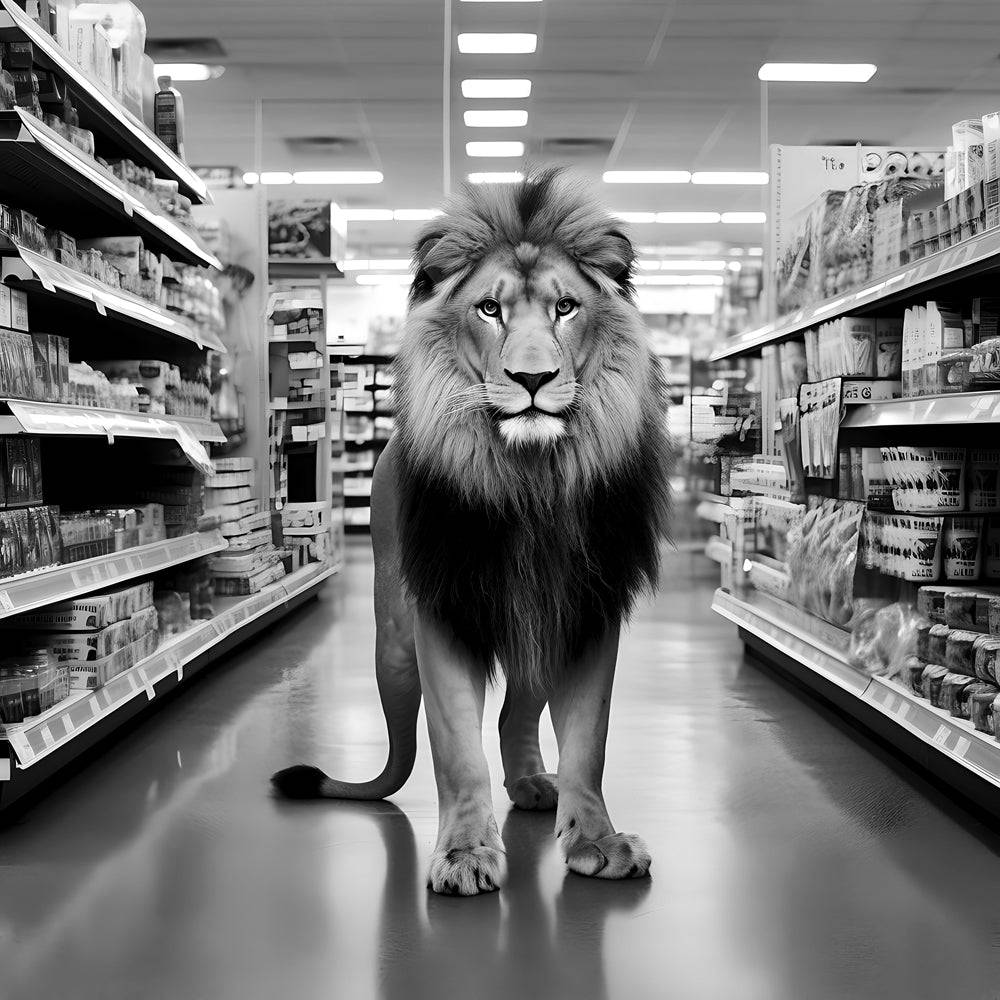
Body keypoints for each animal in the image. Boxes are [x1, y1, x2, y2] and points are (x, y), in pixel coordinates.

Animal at [272, 168, 672, 896]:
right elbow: (456, 747)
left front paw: (596, 839)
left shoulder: (586, 607)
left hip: (537, 626)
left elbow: (588, 743)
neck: (531, 477)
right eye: (490, 310)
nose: (533, 378)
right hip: (394, 642)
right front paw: (463, 851)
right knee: (403, 747)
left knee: (517, 713)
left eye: (566, 307)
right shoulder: (444, 608)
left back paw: (533, 784)